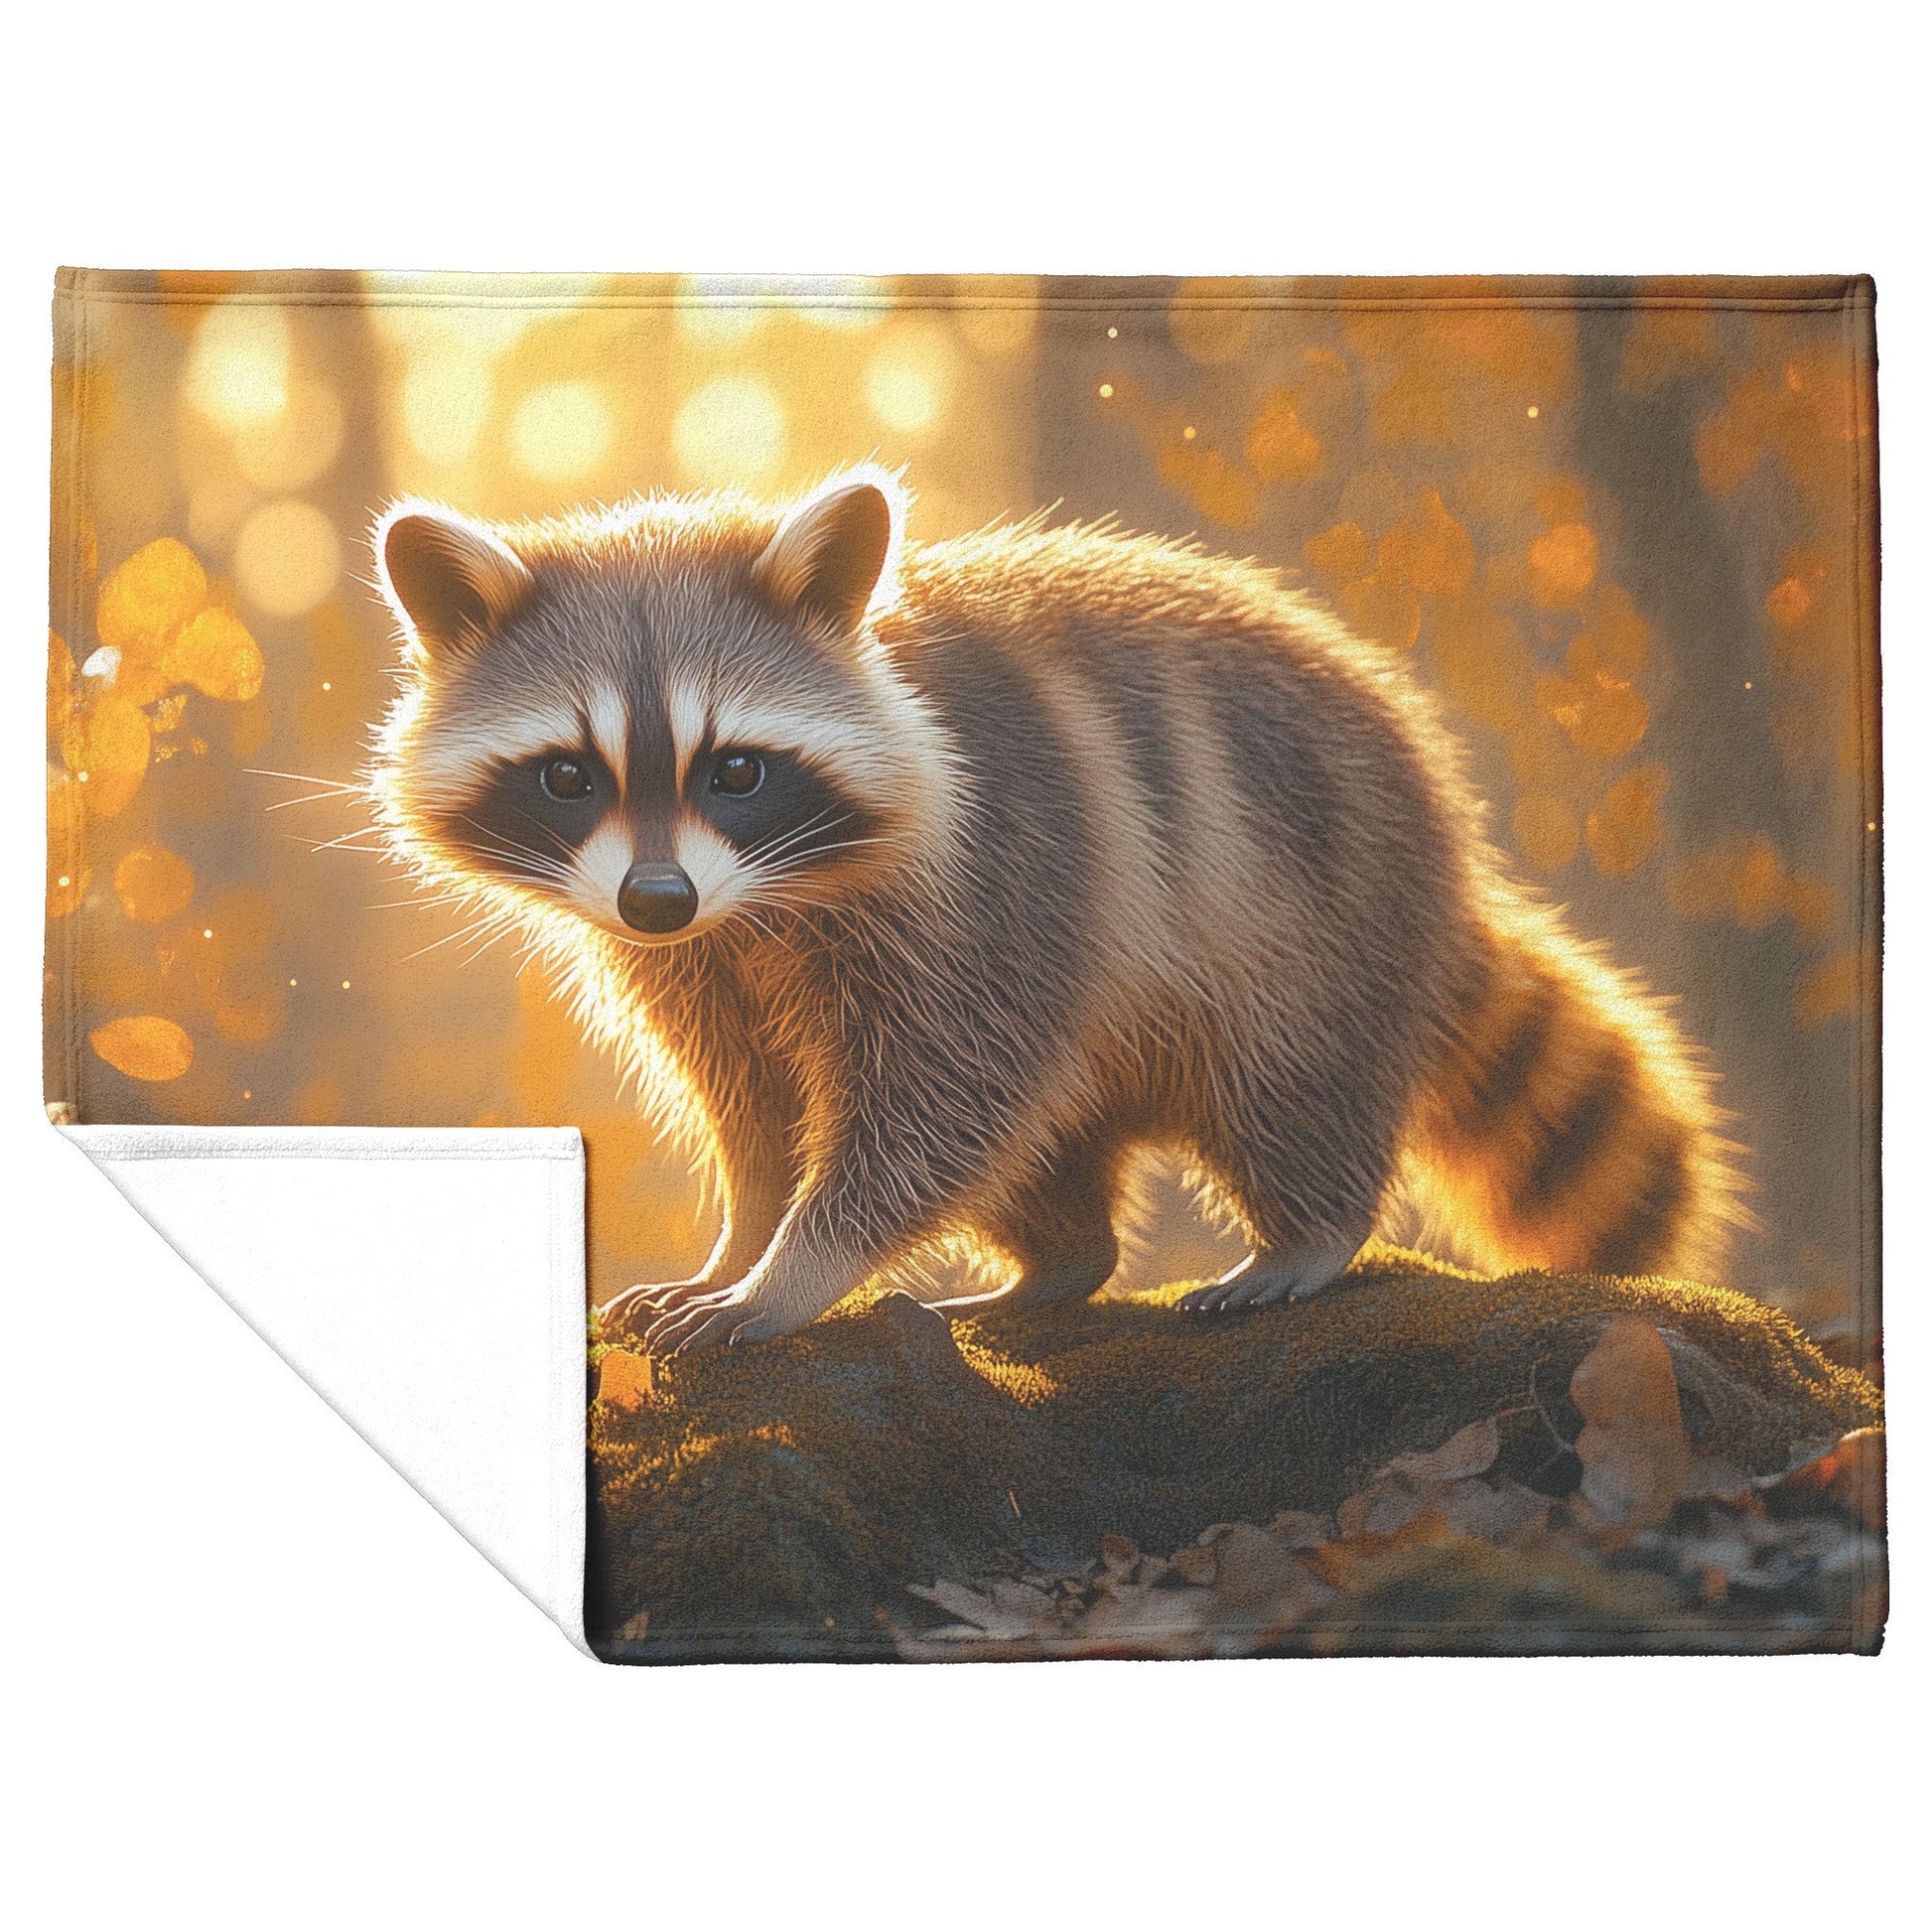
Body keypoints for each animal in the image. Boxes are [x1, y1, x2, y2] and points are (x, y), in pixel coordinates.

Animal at [369, 466, 1743, 1355]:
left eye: (735, 769)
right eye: (567, 774)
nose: (657, 897)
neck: (762, 902)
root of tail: (1450, 854)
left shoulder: (1000, 869)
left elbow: (934, 1098)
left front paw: (794, 1268)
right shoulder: (699, 959)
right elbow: (752, 1104)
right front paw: (742, 1234)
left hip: (1314, 904)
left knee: (1277, 1075)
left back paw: (1306, 1229)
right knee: (1041, 1146)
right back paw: (1054, 1264)